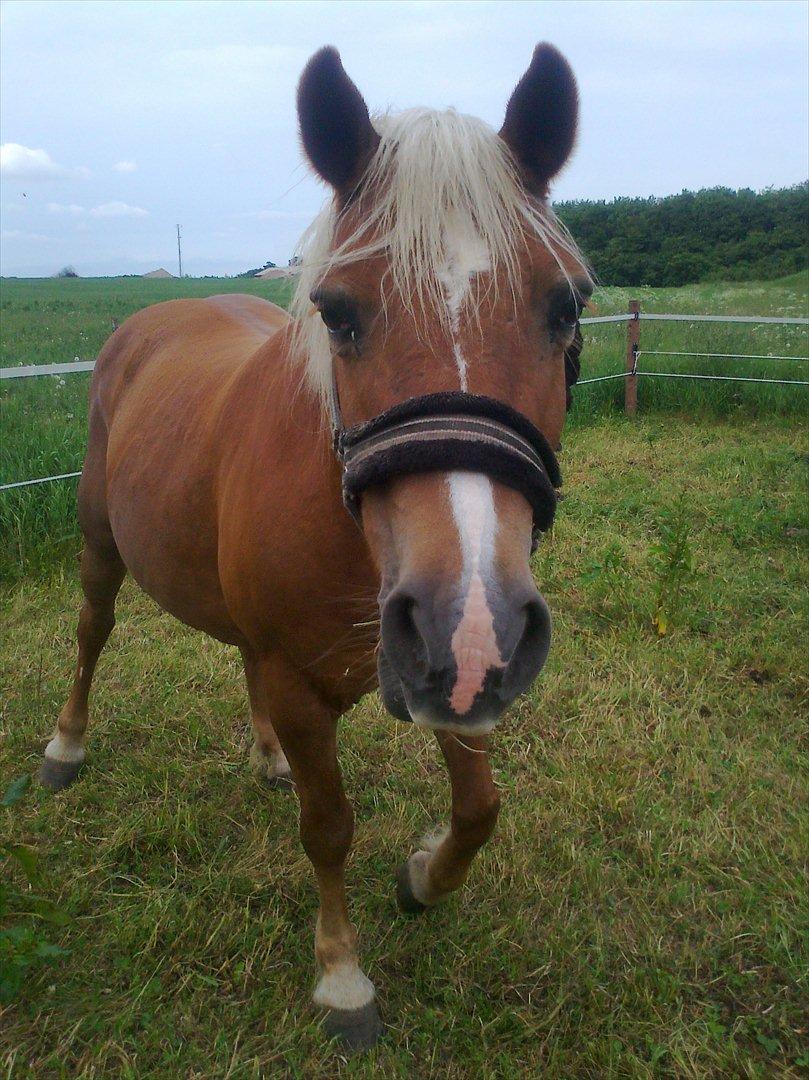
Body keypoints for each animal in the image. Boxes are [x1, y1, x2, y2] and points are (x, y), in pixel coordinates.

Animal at [37, 46, 591, 1049]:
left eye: (566, 304)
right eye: (337, 313)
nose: (469, 614)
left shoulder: (451, 663)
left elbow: (479, 807)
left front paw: (423, 877)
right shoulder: (318, 680)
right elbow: (328, 823)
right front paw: (342, 977)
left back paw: (264, 758)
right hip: (101, 545)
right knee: (93, 632)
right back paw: (65, 747)